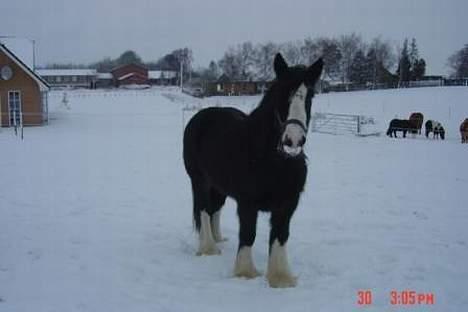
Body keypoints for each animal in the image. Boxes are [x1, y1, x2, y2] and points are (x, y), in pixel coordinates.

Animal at [185, 53, 324, 288]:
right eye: (281, 94)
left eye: (310, 96)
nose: (293, 140)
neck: (273, 161)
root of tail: (202, 117)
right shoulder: (247, 203)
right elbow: (248, 234)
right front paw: (245, 272)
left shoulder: (287, 204)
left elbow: (280, 236)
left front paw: (280, 278)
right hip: (199, 180)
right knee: (204, 209)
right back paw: (209, 248)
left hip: (219, 186)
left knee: (215, 209)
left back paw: (218, 238)